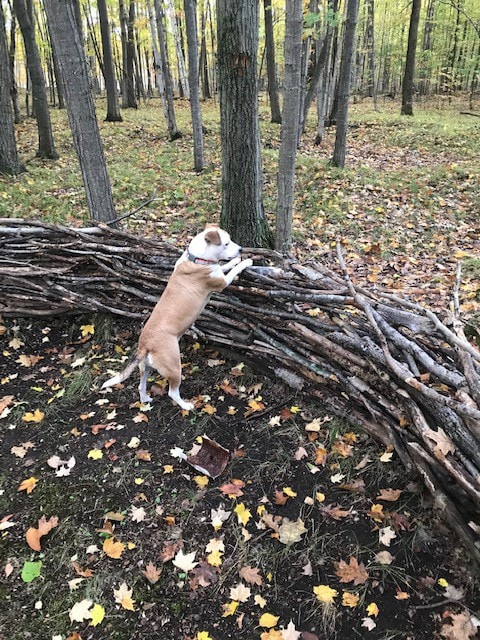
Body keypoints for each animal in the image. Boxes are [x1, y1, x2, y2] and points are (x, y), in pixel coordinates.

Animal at [101, 222, 251, 408]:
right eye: (226, 243)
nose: (241, 249)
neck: (196, 259)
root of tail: (144, 345)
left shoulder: (217, 269)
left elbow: (224, 266)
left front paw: (235, 260)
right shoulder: (221, 282)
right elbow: (232, 271)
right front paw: (245, 261)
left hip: (146, 367)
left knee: (141, 385)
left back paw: (145, 400)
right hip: (174, 367)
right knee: (172, 392)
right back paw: (186, 405)